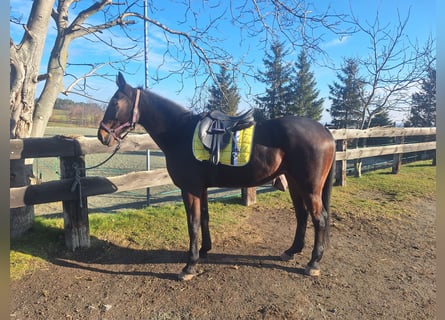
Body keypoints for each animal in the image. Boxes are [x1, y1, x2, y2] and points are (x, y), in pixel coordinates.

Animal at [96, 73, 332, 280]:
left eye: (115, 103)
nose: (102, 135)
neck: (179, 132)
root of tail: (326, 132)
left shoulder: (190, 189)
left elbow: (193, 223)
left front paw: (189, 266)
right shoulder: (201, 188)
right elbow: (204, 218)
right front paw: (204, 250)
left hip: (310, 187)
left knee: (319, 218)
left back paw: (313, 263)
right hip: (294, 183)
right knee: (302, 215)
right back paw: (292, 251)